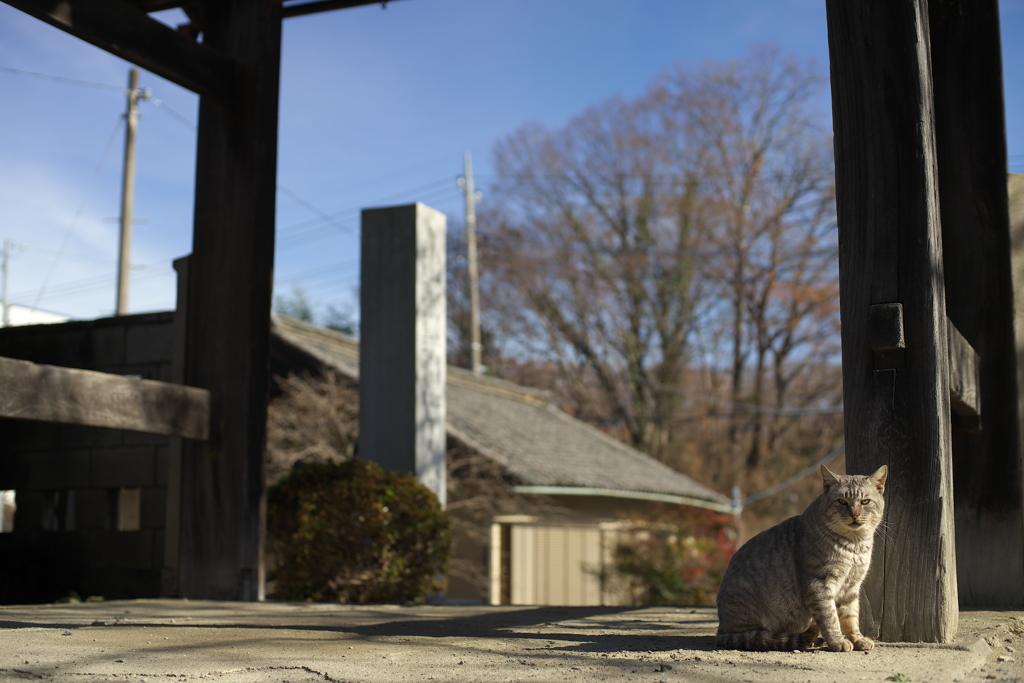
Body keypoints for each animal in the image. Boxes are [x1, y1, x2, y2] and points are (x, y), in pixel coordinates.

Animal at [716, 464, 884, 651]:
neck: (855, 545)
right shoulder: (819, 584)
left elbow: (851, 617)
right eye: (842, 501)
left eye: (865, 502)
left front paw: (858, 639)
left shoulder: (851, 587)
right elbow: (830, 617)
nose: (854, 514)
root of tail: (721, 629)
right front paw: (837, 641)